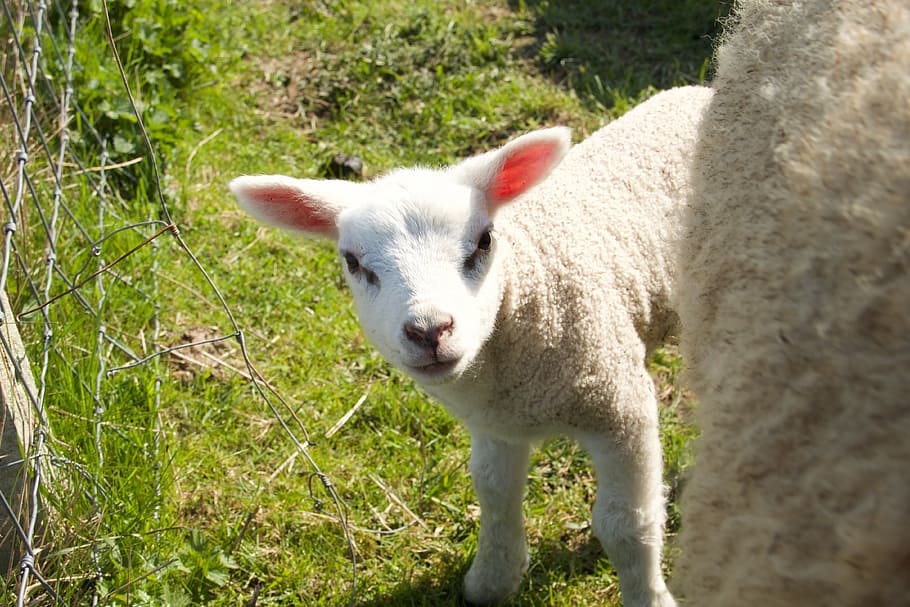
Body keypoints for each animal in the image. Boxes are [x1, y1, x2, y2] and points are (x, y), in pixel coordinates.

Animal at [230, 84, 714, 607]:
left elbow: (627, 524)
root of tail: (698, 90)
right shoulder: (496, 424)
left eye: (484, 241)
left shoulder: (619, 406)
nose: (429, 330)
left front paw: (649, 596)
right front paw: (491, 580)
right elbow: (495, 496)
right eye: (353, 262)